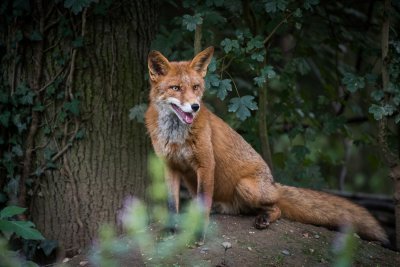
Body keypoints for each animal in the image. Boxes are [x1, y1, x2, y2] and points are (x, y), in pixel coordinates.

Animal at [145, 46, 390, 245]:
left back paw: (264, 218)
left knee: (277, 207)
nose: (195, 107)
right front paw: (170, 231)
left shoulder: (206, 164)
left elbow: (203, 205)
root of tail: (273, 183)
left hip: (246, 186)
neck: (175, 135)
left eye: (196, 87)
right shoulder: (170, 166)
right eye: (176, 88)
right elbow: (171, 204)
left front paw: (198, 235)